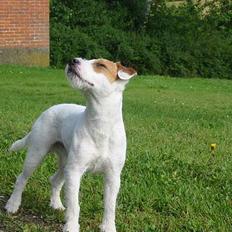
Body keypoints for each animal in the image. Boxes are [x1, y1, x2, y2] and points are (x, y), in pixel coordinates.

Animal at [4, 57, 137, 231]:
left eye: (101, 65)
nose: (73, 60)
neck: (100, 123)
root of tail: (49, 109)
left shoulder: (112, 176)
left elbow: (110, 206)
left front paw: (108, 227)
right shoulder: (75, 171)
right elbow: (74, 205)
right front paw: (71, 226)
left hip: (65, 162)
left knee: (54, 180)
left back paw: (56, 204)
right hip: (37, 153)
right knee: (22, 178)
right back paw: (12, 204)